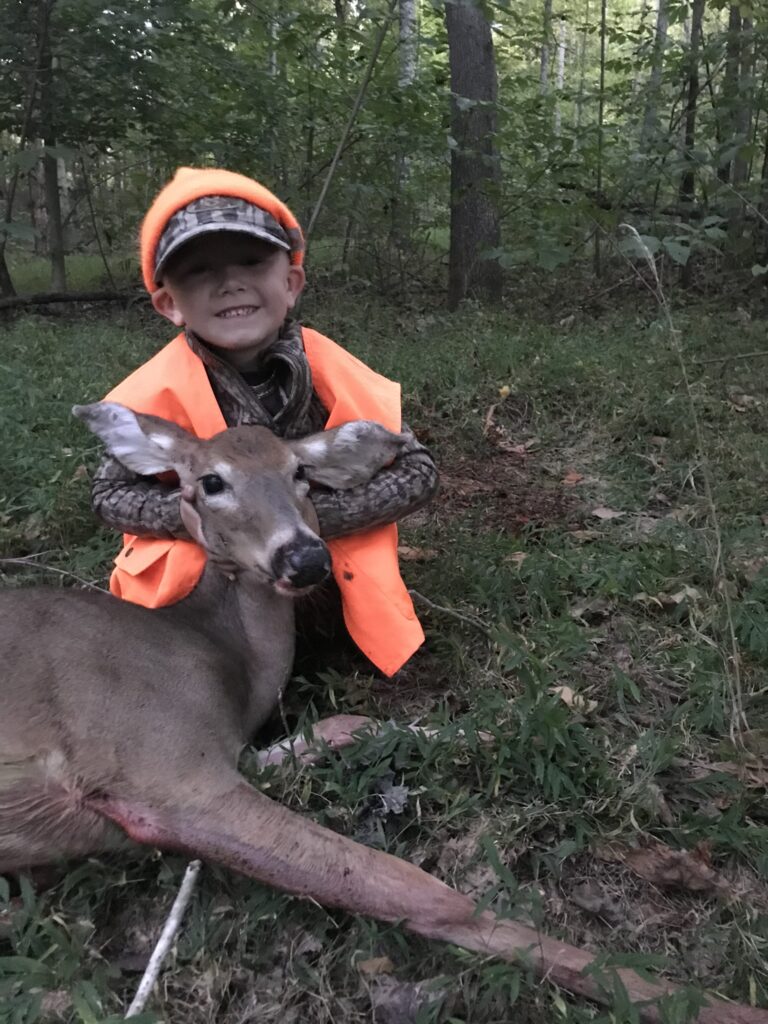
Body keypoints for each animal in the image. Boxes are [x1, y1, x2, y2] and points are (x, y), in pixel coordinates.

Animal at [0, 402, 764, 1024]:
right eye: (210, 481)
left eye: (301, 474)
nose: (304, 556)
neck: (215, 664)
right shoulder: (153, 761)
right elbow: (416, 890)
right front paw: (689, 1000)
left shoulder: (234, 752)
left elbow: (341, 726)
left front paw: (487, 728)